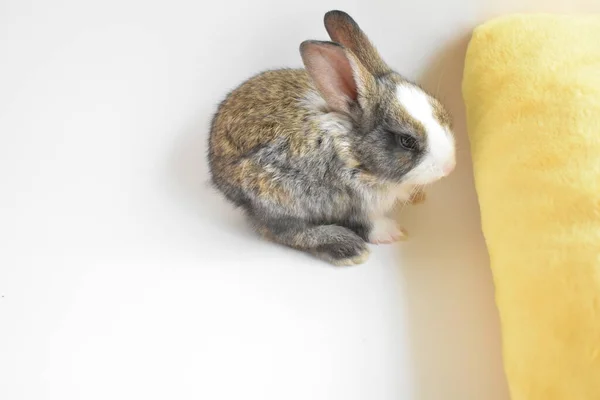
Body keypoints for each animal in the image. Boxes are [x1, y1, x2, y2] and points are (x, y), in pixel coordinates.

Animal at [206, 9, 454, 266]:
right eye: (407, 141)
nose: (449, 167)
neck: (354, 151)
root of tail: (216, 167)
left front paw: (417, 197)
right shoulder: (353, 201)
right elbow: (367, 223)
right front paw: (392, 233)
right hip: (273, 197)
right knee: (281, 231)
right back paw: (347, 247)